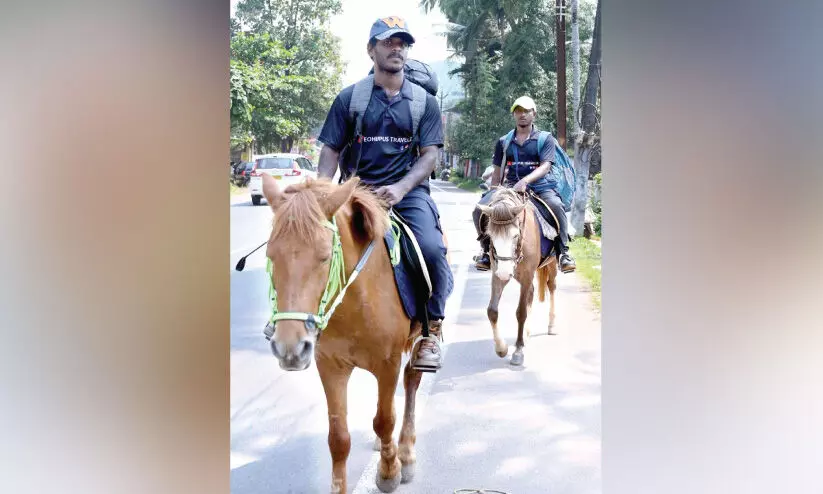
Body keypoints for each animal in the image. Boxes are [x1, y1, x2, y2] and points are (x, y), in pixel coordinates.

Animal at [262, 174, 432, 494]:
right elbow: (338, 437)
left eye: (325, 256)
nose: (290, 348)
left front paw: (389, 472)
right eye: (270, 256)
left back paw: (405, 452)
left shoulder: (388, 364)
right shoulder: (329, 365)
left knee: (411, 382)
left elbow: (385, 420)